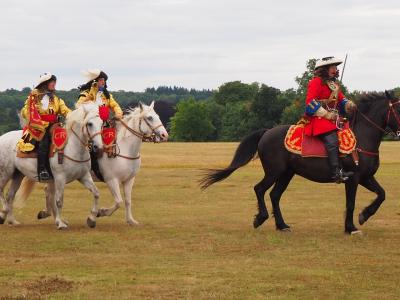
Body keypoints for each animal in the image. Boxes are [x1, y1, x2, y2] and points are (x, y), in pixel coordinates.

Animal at [32, 100, 167, 225]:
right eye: (149, 118)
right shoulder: (112, 180)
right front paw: (100, 213)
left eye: (158, 116)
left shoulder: (129, 180)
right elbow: (118, 201)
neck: (126, 149)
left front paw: (131, 221)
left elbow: (128, 201)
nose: (164, 135)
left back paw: (46, 213)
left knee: (48, 190)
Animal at [202, 92, 400, 234]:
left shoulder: (366, 177)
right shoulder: (353, 178)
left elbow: (382, 194)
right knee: (259, 189)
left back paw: (282, 225)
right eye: (398, 109)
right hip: (274, 172)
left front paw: (364, 215)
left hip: (286, 174)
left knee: (274, 195)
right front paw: (350, 227)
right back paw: (261, 218)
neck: (362, 137)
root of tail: (267, 132)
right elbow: (350, 202)